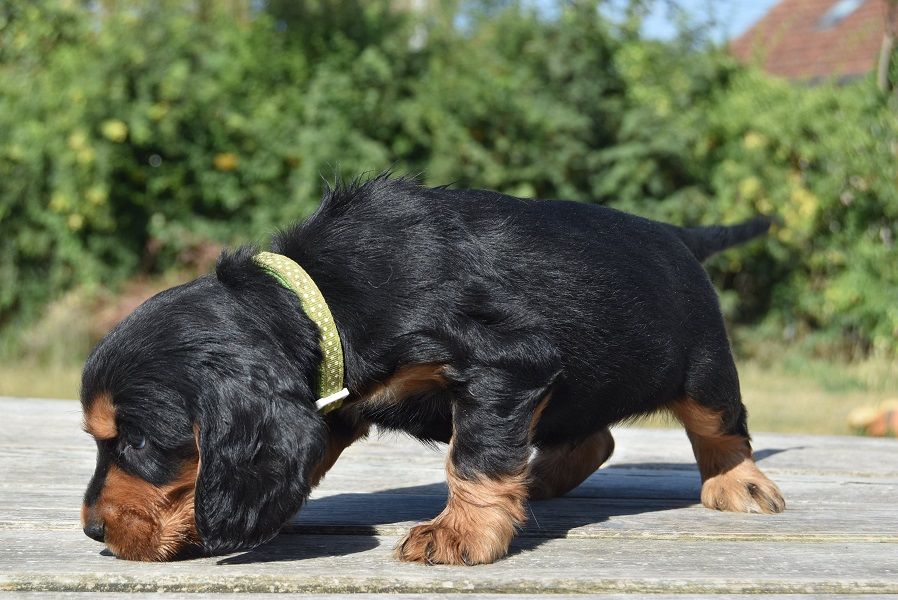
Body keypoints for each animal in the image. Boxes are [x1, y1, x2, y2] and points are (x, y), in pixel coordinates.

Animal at [80, 175, 784, 563]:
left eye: (137, 444)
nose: (92, 531)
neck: (327, 294)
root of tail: (677, 234)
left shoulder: (507, 364)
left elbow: (473, 455)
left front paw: (461, 534)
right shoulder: (333, 398)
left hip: (702, 366)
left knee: (720, 424)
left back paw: (740, 484)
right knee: (597, 436)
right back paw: (541, 477)